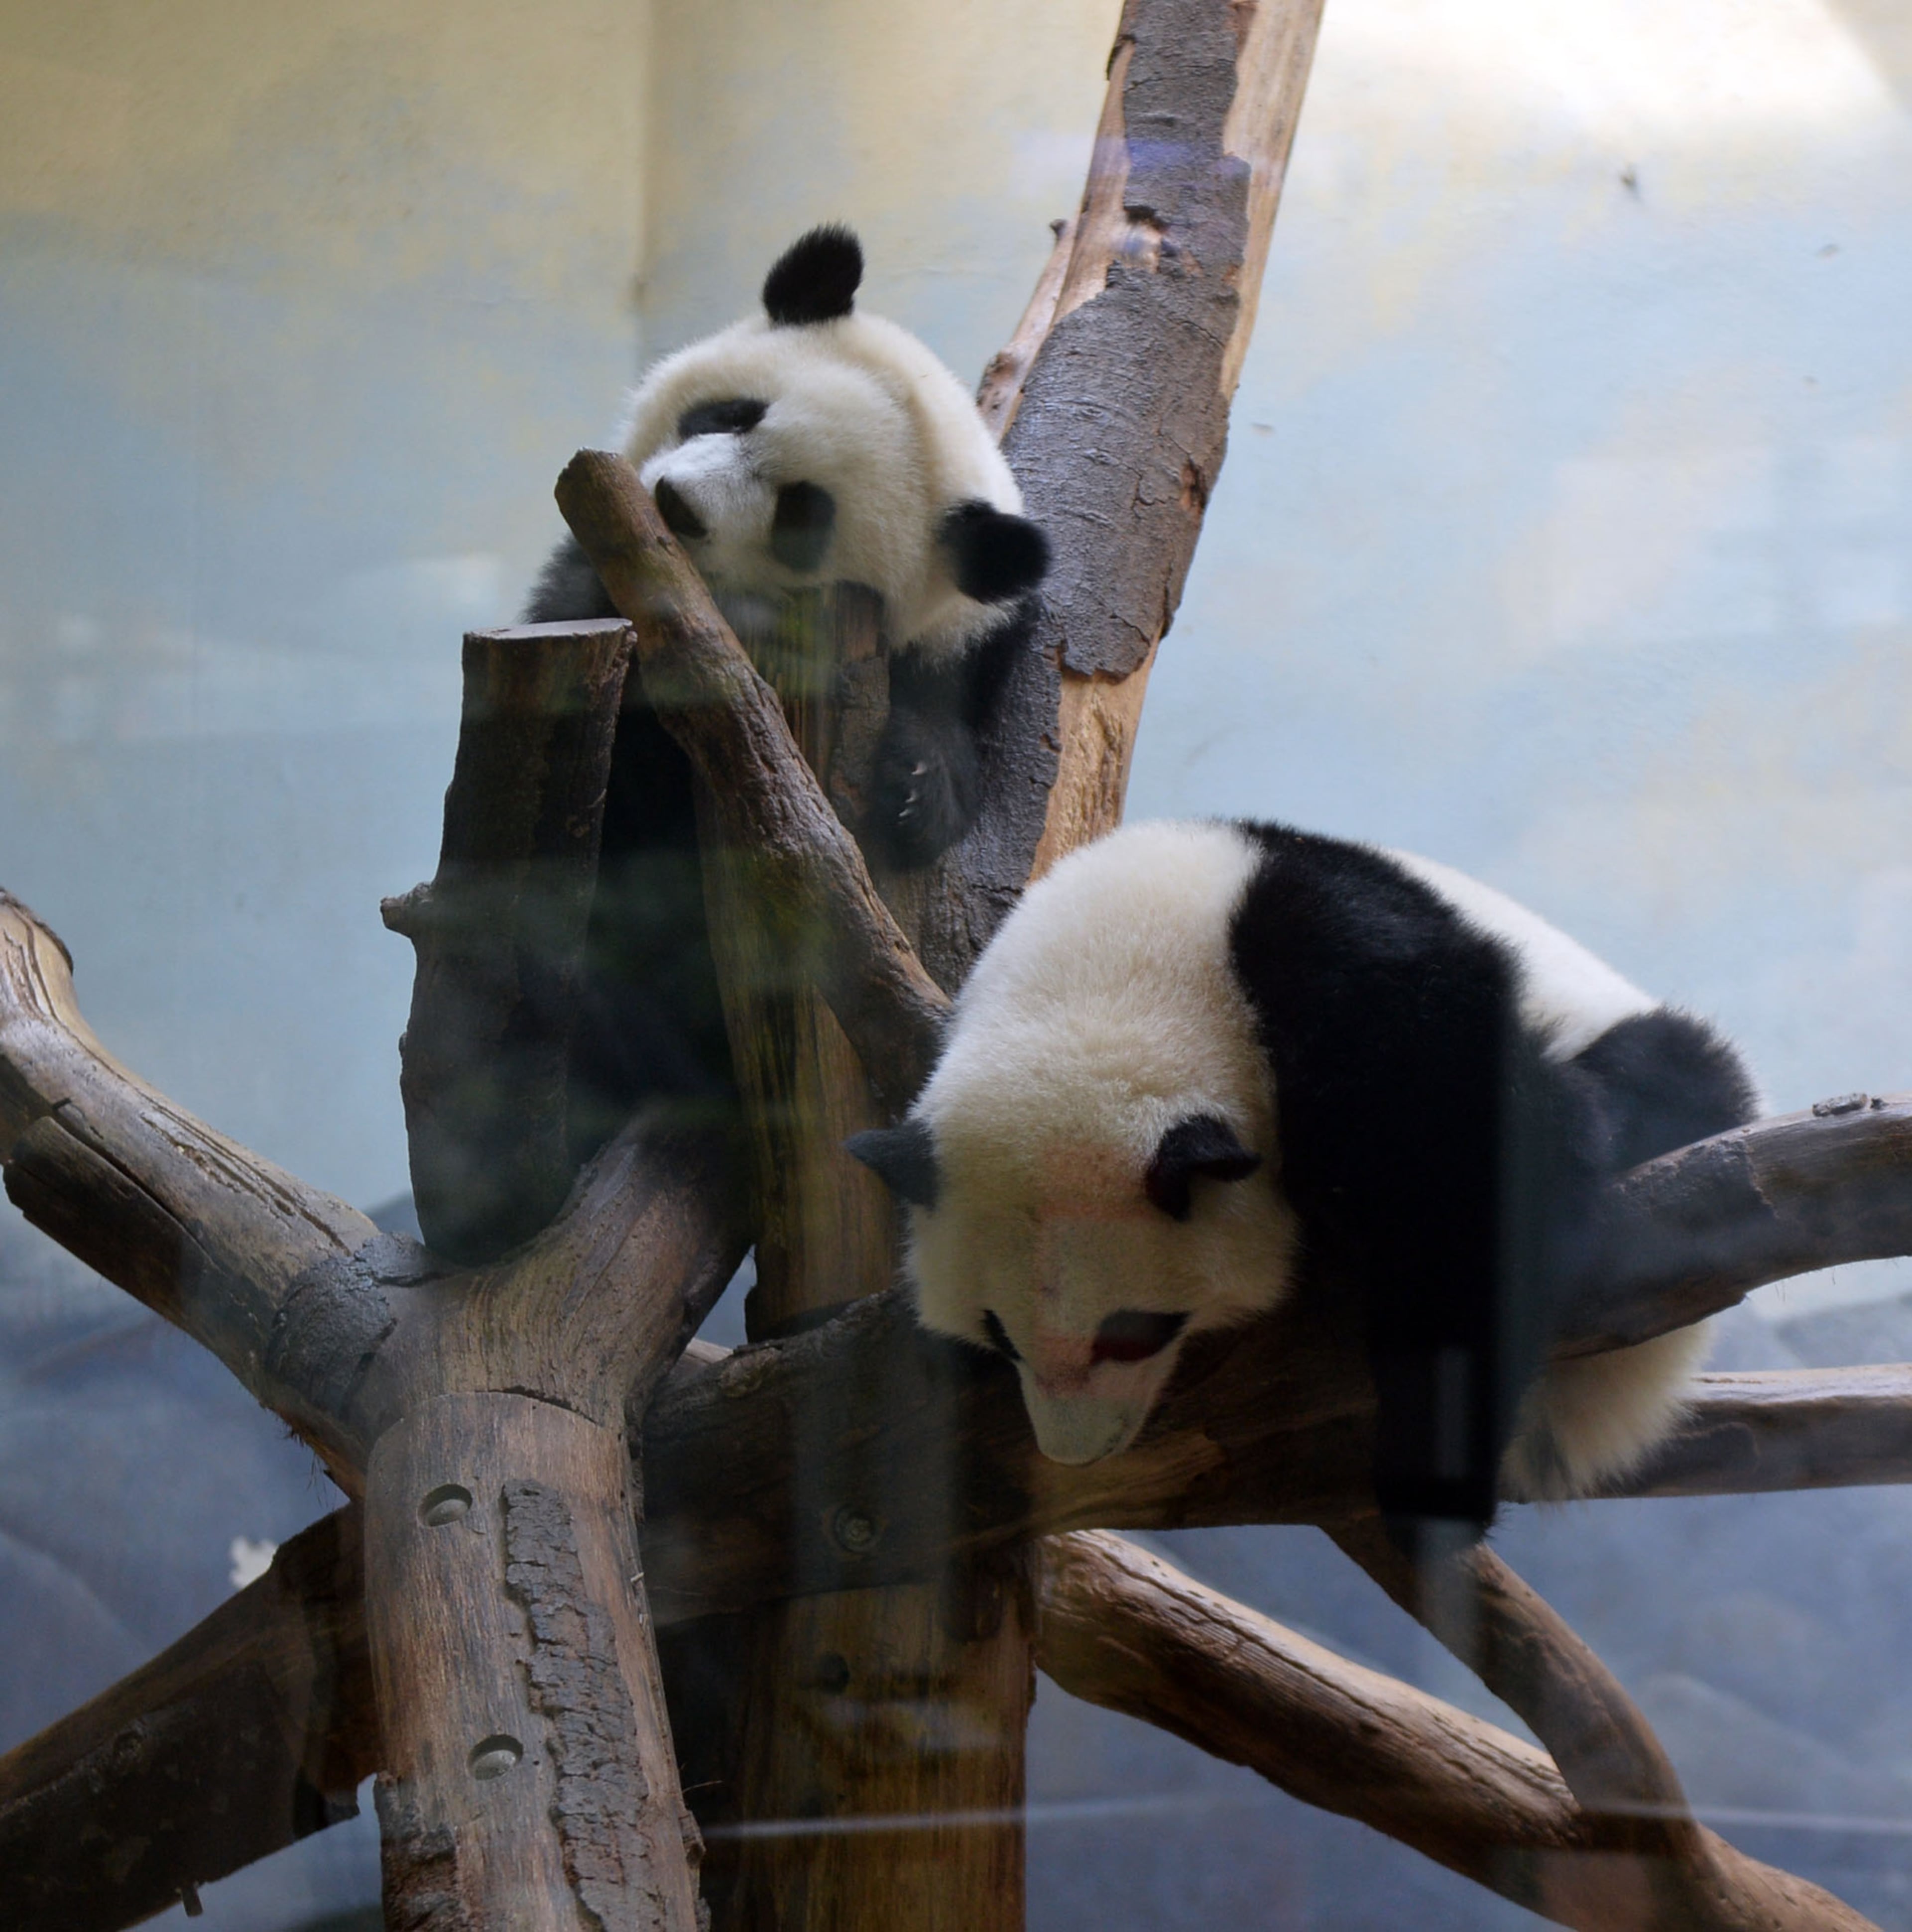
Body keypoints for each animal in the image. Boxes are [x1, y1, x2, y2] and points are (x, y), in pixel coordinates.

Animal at [523, 226, 1050, 1156]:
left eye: (802, 514)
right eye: (733, 415)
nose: (676, 505)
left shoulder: (978, 635)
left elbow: (948, 715)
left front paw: (919, 788)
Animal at [847, 818, 1758, 1530]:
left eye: (1132, 1331)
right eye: (1000, 1334)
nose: (1077, 1451)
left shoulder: (1344, 979)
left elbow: (1486, 1183)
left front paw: (1434, 1480)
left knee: (1679, 1071)